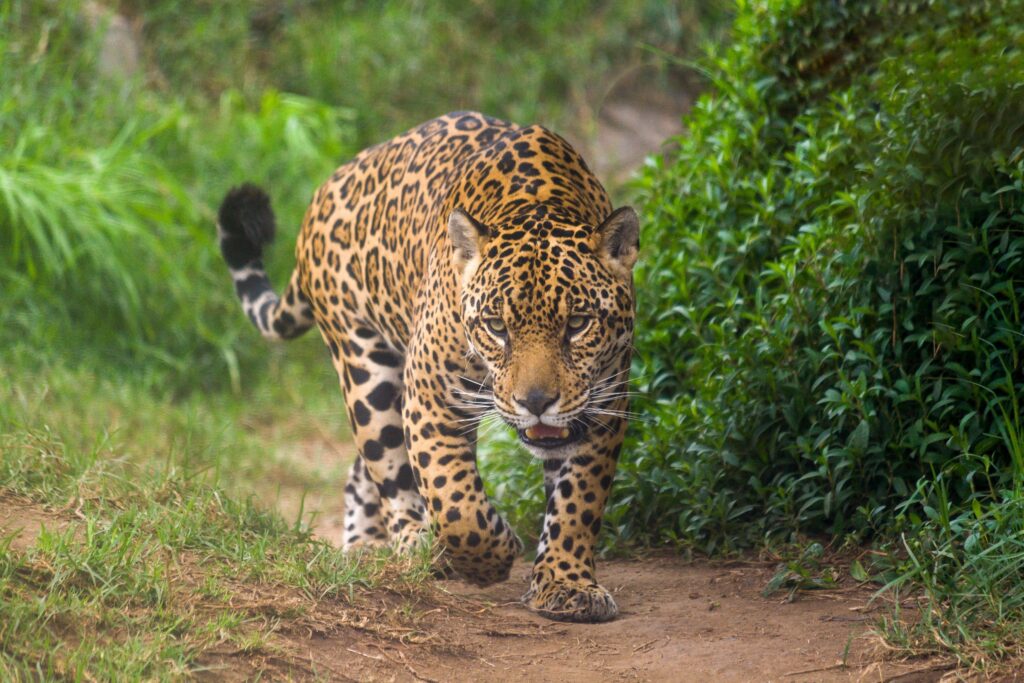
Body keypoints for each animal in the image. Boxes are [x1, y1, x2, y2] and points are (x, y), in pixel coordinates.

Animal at [216, 111, 638, 623]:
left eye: (577, 323)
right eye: (497, 326)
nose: (536, 402)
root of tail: (327, 190)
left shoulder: (604, 408)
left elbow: (578, 501)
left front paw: (567, 584)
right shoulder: (430, 400)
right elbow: (455, 503)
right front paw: (491, 557)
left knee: (363, 471)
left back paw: (369, 544)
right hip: (365, 368)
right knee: (387, 463)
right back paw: (412, 545)